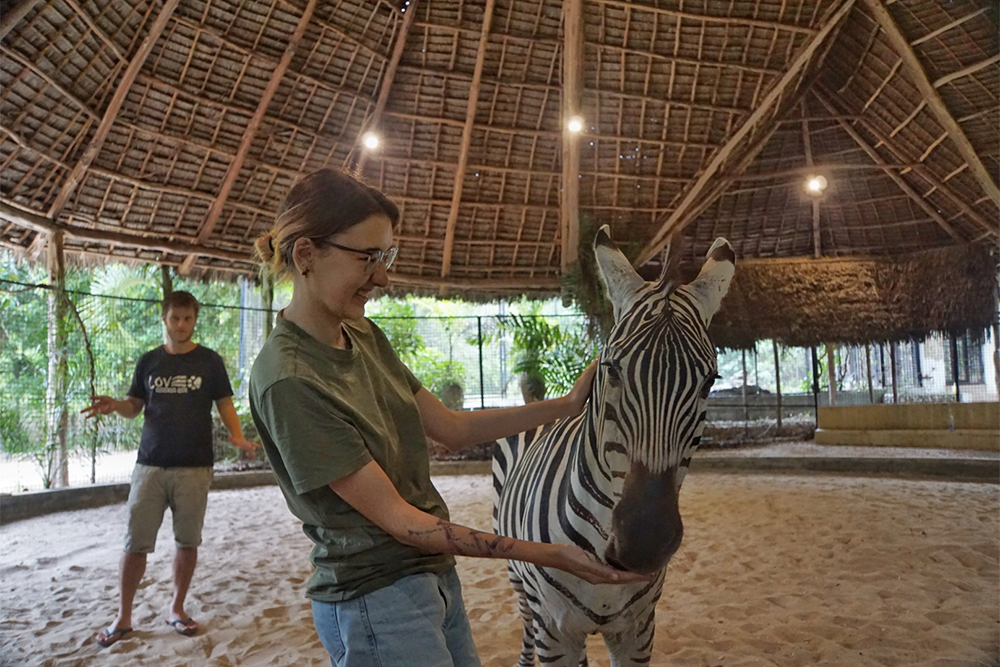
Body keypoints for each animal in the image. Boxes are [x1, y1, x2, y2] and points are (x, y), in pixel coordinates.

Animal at [492, 226, 736, 667]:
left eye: (710, 381)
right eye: (611, 369)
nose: (645, 540)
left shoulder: (638, 632)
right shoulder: (555, 633)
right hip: (517, 578)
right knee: (524, 620)